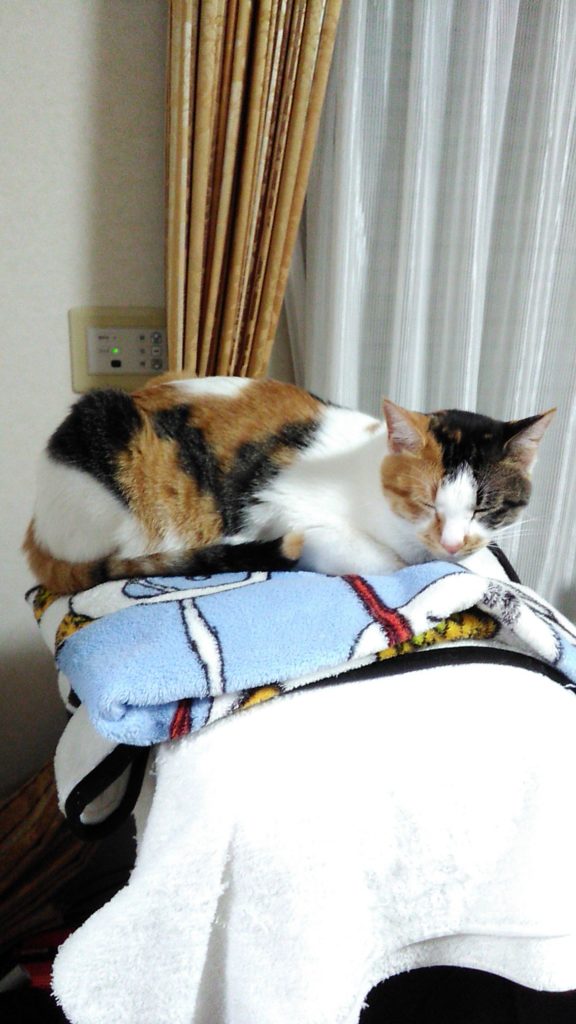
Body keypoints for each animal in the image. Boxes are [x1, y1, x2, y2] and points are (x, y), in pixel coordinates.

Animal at [23, 375, 555, 594]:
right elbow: (386, 562)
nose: (451, 542)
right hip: (107, 440)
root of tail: (33, 531)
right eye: (426, 502)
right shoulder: (282, 508)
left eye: (486, 508)